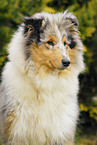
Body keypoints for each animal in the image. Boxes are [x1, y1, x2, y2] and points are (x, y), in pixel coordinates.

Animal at [0, 10, 84, 144]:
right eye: (49, 42)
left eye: (65, 43)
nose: (67, 62)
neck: (46, 79)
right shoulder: (16, 130)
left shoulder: (61, 130)